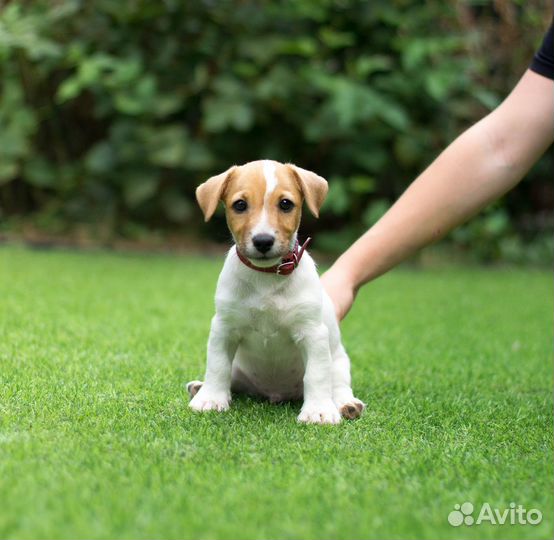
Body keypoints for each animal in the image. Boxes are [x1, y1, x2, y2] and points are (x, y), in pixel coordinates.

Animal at [188, 158, 364, 424]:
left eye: (285, 204)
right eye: (240, 205)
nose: (263, 241)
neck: (266, 278)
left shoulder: (313, 334)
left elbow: (317, 375)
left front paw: (319, 410)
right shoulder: (224, 327)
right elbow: (218, 366)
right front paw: (211, 398)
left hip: (339, 363)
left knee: (338, 385)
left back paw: (347, 404)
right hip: (240, 367)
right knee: (232, 378)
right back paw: (201, 387)